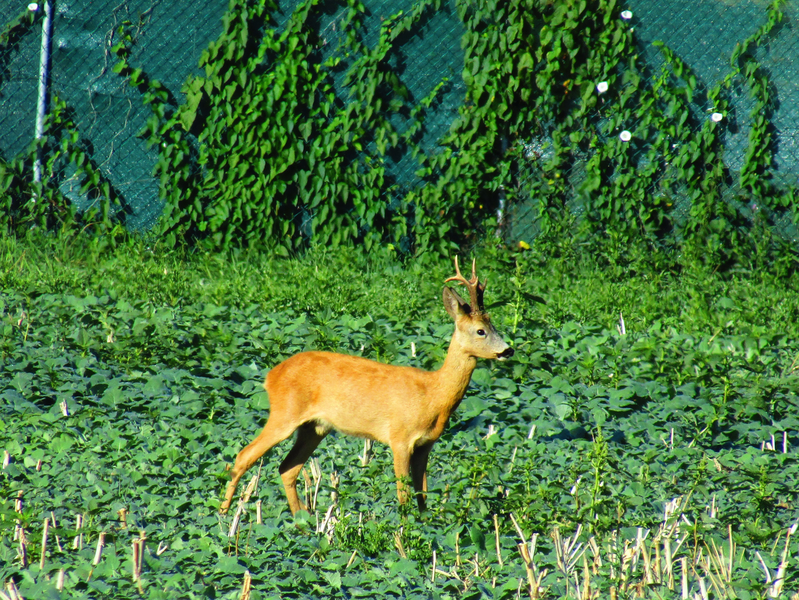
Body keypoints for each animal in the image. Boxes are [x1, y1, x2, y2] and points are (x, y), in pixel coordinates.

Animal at [220, 258, 512, 516]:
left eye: (494, 325)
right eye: (480, 331)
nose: (508, 350)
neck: (433, 394)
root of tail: (271, 375)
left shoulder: (425, 444)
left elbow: (423, 497)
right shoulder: (399, 438)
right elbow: (404, 497)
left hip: (315, 427)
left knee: (287, 468)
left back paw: (302, 523)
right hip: (285, 413)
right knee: (243, 456)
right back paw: (224, 518)